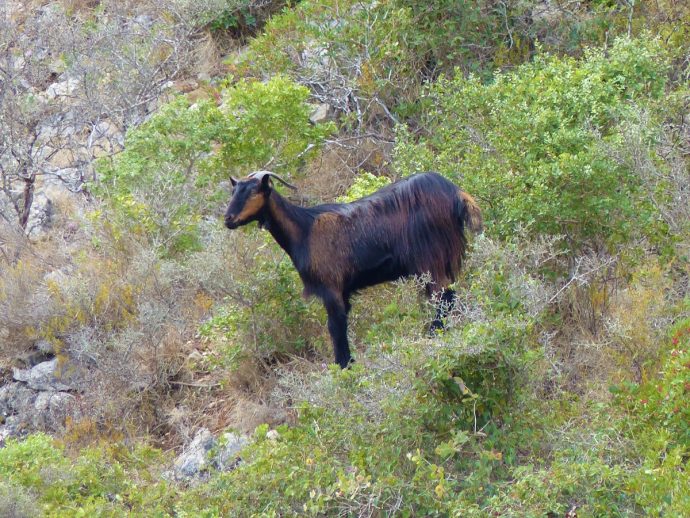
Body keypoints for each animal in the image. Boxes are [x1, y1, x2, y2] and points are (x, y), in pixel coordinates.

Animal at [224, 171, 482, 368]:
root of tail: (456, 194)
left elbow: (336, 328)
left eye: (253, 191)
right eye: (234, 191)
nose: (228, 218)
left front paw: (343, 367)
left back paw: (432, 335)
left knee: (442, 297)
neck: (304, 230)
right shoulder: (344, 291)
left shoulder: (331, 288)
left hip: (430, 258)